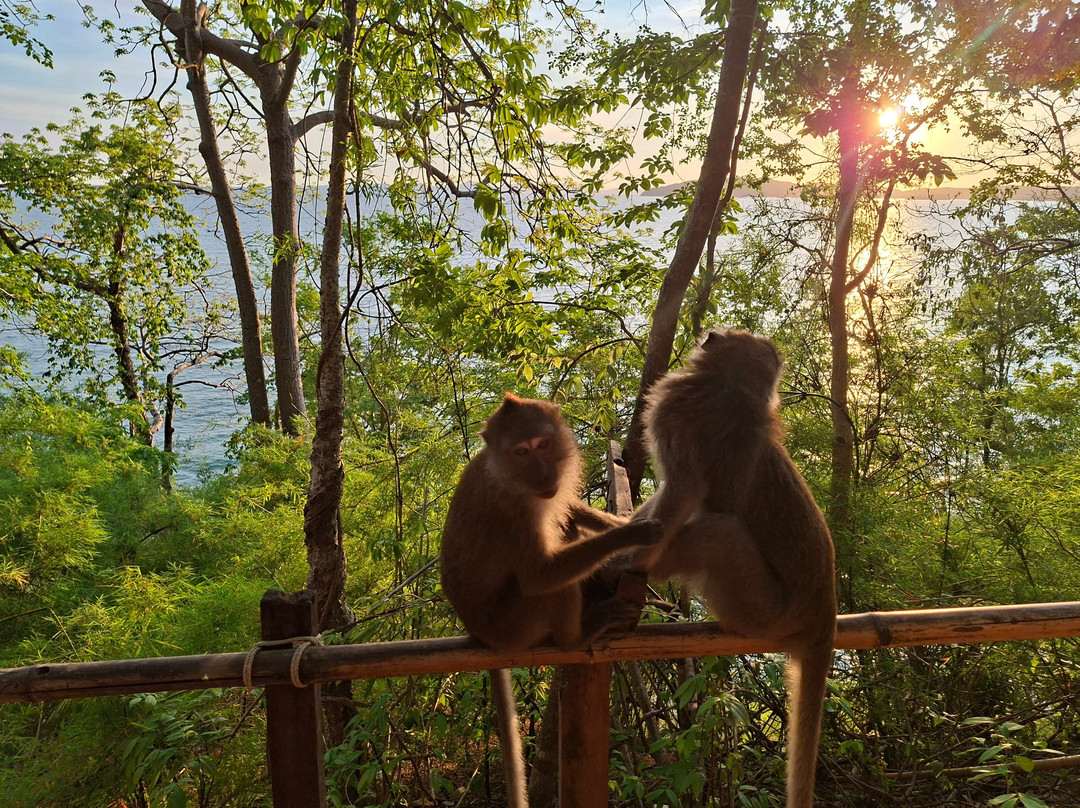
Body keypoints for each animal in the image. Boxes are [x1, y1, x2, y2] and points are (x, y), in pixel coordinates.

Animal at [440, 393, 661, 808]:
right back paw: (578, 636)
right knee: (549, 589)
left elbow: (568, 506)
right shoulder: (513, 511)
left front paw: (620, 525)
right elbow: (539, 577)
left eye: (543, 445)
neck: (507, 475)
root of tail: (481, 636)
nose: (543, 475)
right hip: (514, 624)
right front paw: (633, 534)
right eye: (520, 451)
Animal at [632, 329, 836, 808]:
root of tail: (825, 610)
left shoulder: (676, 406)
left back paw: (651, 568)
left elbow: (684, 489)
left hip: (762, 608)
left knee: (724, 531)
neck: (730, 387)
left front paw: (629, 557)